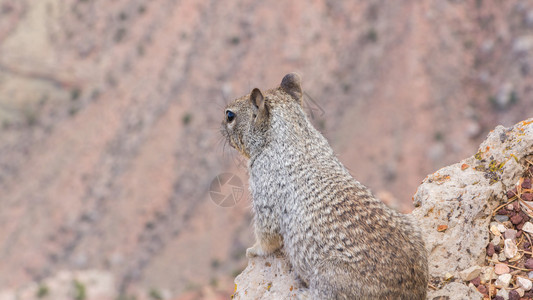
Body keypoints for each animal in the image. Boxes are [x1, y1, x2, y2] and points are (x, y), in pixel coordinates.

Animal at [220, 73, 428, 300]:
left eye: (230, 115)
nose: (220, 125)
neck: (295, 135)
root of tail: (410, 292)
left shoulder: (263, 190)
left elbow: (266, 234)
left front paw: (253, 250)